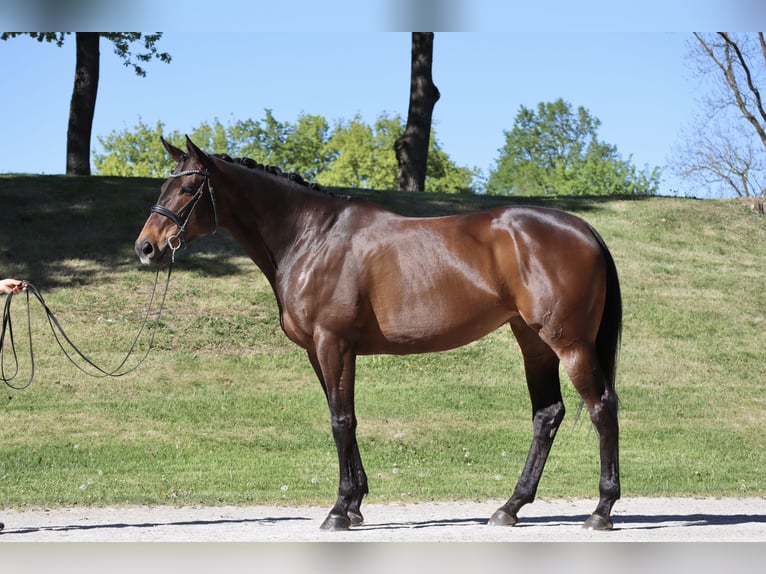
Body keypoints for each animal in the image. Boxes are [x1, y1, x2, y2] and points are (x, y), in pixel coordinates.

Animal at [135, 136, 622, 531]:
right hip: (534, 342)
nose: (146, 248)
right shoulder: (320, 352)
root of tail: (583, 228)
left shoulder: (334, 344)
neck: (311, 237)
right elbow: (343, 417)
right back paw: (510, 507)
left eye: (188, 189)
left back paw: (601, 511)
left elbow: (341, 421)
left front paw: (338, 510)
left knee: (601, 407)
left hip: (570, 344)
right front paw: (354, 505)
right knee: (548, 415)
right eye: (161, 188)